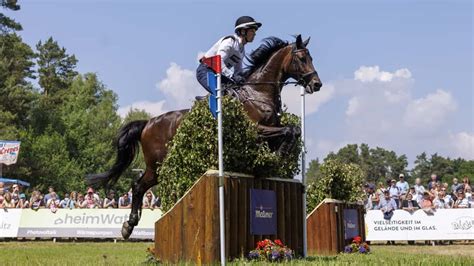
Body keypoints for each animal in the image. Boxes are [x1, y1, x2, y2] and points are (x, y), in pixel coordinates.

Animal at [86, 33, 320, 239]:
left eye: (311, 57)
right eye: (302, 58)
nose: (317, 84)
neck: (258, 93)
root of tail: (148, 123)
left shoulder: (271, 131)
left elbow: (292, 131)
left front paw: (277, 156)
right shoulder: (257, 130)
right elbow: (290, 130)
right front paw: (279, 155)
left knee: (139, 186)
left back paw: (129, 225)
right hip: (157, 164)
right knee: (137, 186)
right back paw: (129, 225)